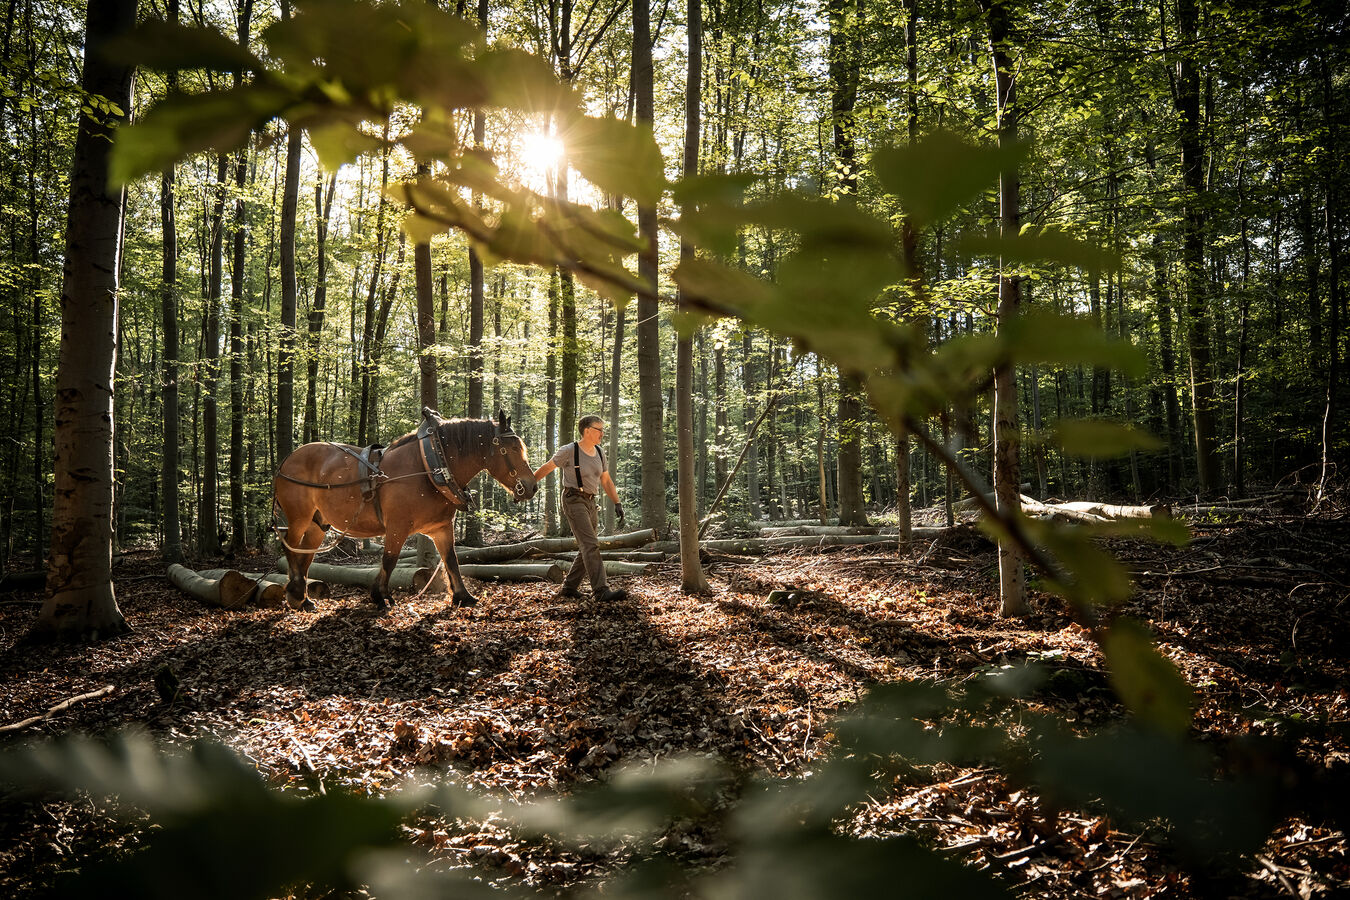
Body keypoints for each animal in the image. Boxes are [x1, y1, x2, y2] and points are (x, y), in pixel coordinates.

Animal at [270, 412, 537, 612]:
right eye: (512, 448)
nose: (532, 486)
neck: (431, 466)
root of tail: (286, 461)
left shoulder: (441, 527)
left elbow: (451, 559)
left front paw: (463, 596)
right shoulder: (397, 526)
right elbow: (389, 559)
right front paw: (381, 597)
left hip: (318, 523)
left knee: (305, 554)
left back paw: (304, 598)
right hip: (299, 517)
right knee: (290, 545)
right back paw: (295, 593)